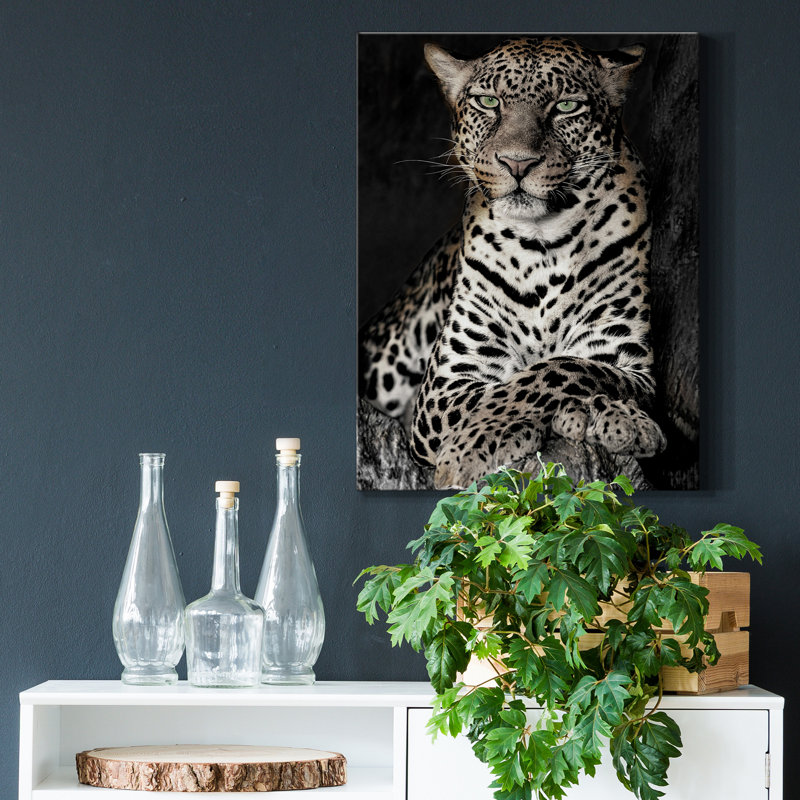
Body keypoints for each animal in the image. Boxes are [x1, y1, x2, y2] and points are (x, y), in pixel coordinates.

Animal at [359, 37, 666, 489]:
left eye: (565, 107)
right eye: (489, 102)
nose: (517, 162)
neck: (543, 243)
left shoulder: (628, 361)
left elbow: (563, 369)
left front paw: (614, 417)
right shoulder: (445, 386)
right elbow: (509, 388)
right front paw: (470, 449)